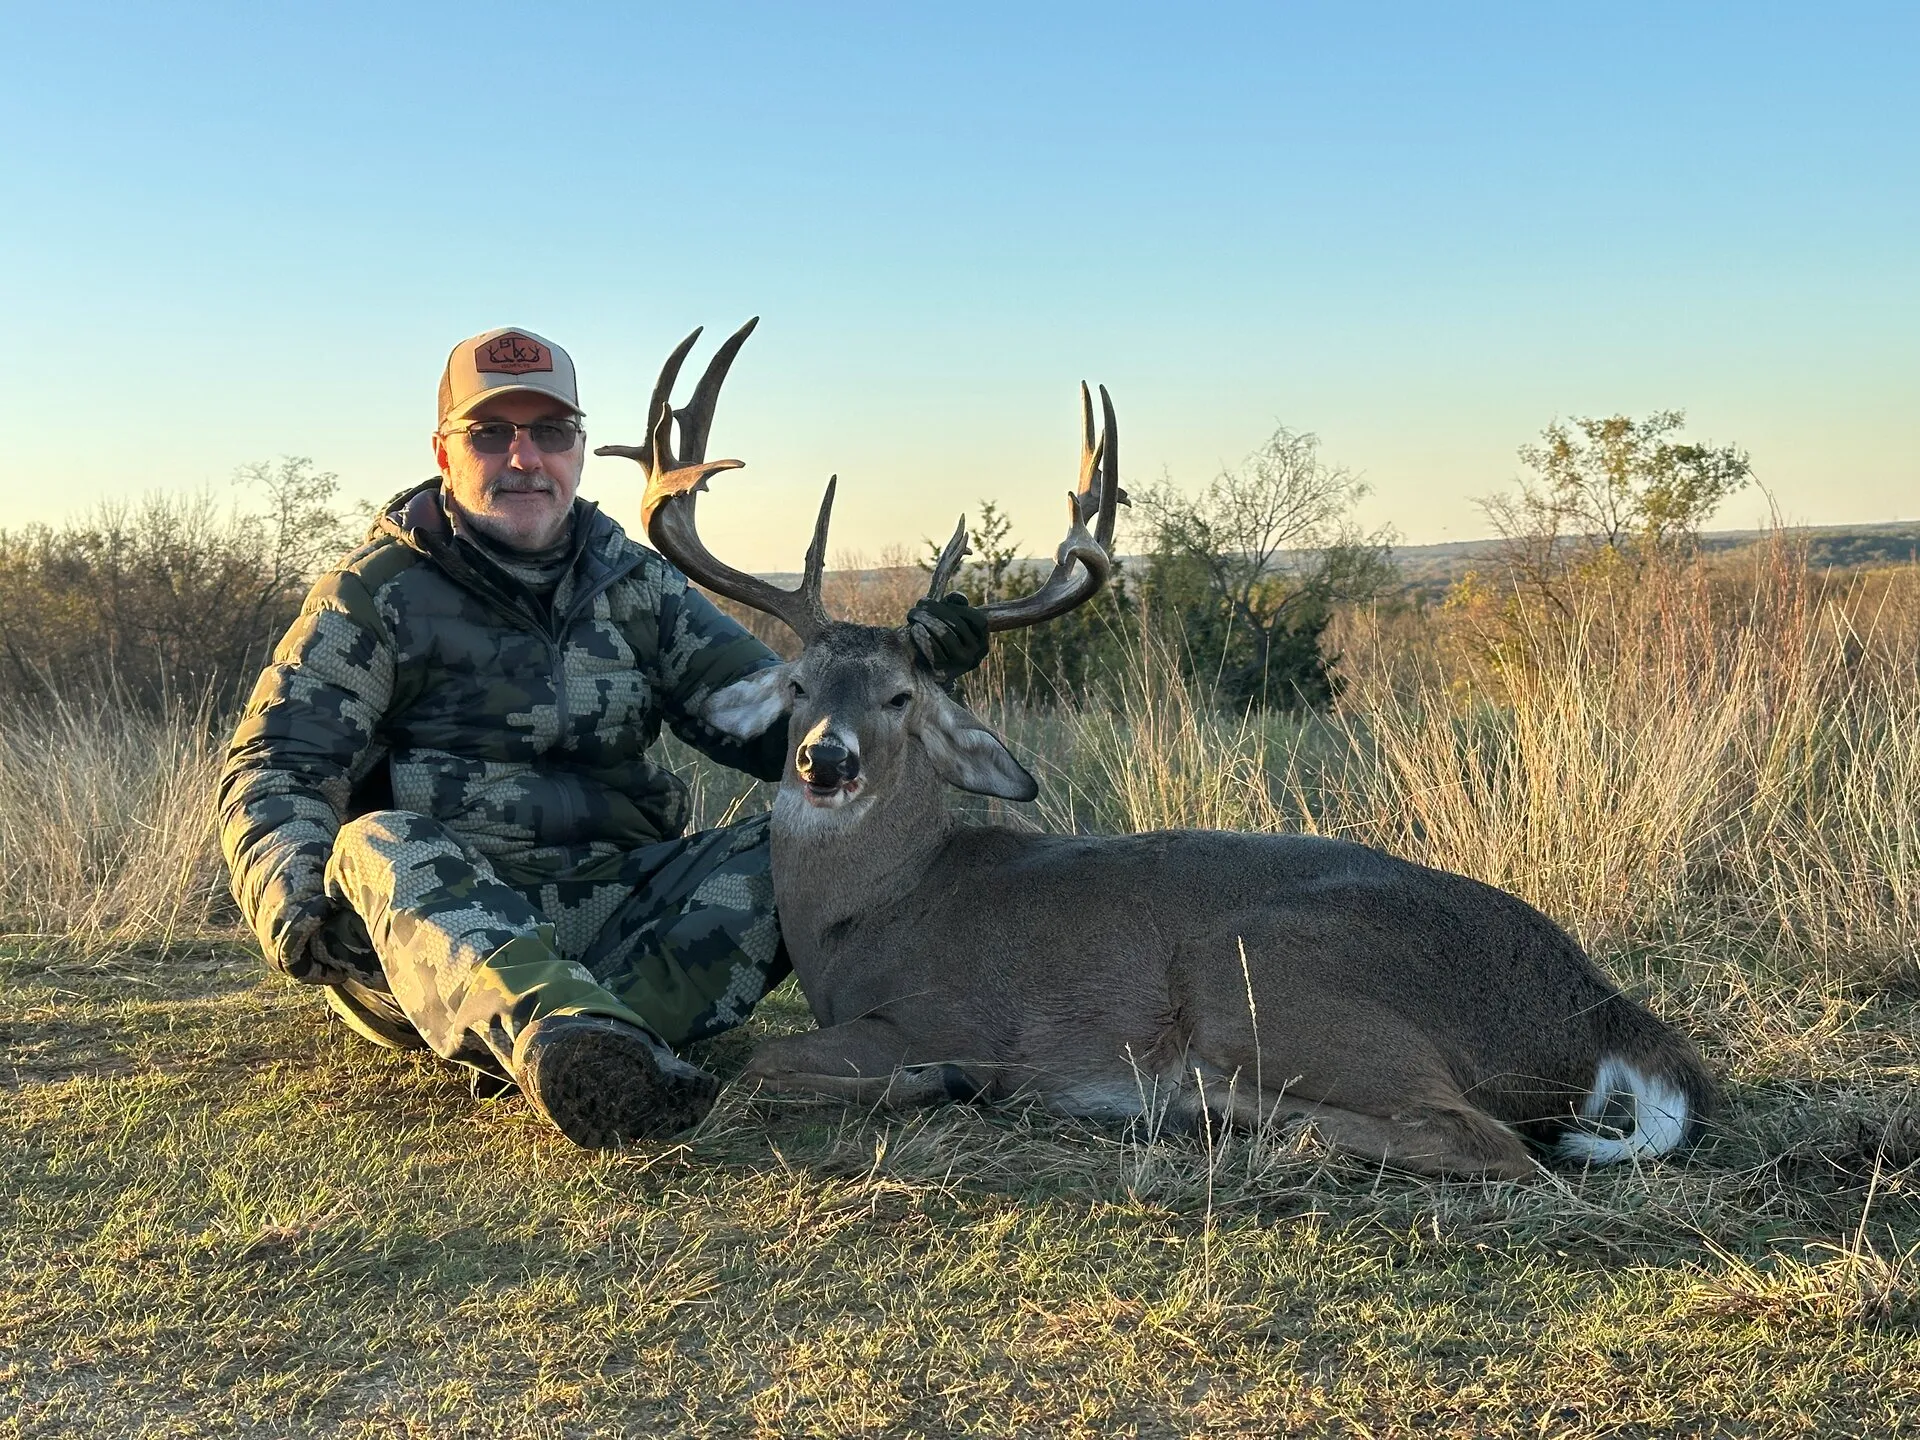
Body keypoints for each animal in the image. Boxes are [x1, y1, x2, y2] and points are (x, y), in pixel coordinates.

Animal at [598, 321, 1717, 1180]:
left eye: (902, 696)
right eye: (796, 687)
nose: (825, 762)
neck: (872, 911)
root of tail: (1601, 1009)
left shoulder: (939, 1012)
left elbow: (759, 1066)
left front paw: (941, 1084)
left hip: (1261, 968)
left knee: (1488, 1142)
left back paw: (1213, 1110)